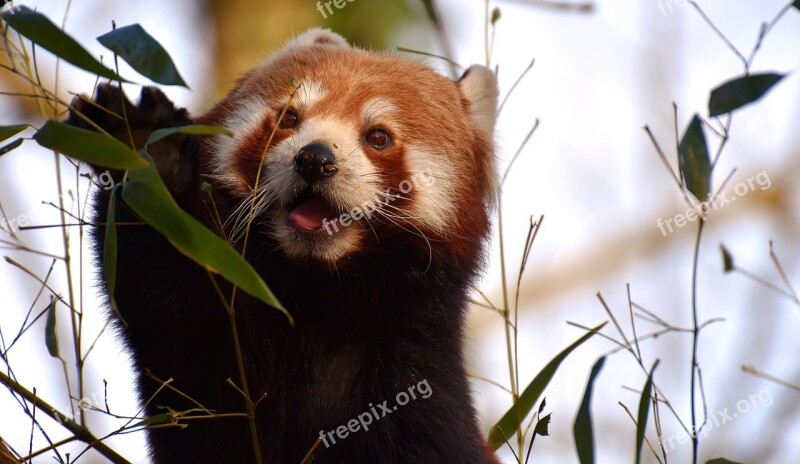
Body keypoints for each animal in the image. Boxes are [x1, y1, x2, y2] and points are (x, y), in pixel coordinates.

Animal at [69, 28, 496, 464]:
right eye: (290, 118)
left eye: (378, 137)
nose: (314, 159)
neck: (316, 299)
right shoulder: (213, 349)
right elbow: (164, 300)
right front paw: (146, 150)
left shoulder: (416, 371)